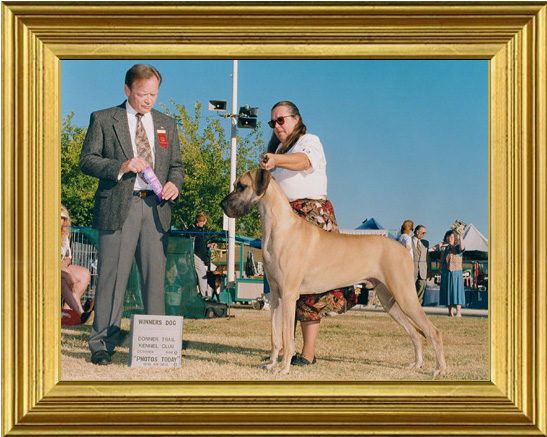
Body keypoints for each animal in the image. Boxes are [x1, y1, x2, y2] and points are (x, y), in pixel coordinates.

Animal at [220, 169, 448, 376]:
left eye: (242, 186)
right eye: (235, 184)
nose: (222, 205)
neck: (278, 226)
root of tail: (403, 249)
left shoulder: (289, 295)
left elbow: (286, 337)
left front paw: (283, 368)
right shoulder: (275, 295)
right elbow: (275, 337)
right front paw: (271, 364)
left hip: (405, 295)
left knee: (434, 332)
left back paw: (440, 369)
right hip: (389, 300)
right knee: (416, 333)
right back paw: (417, 364)